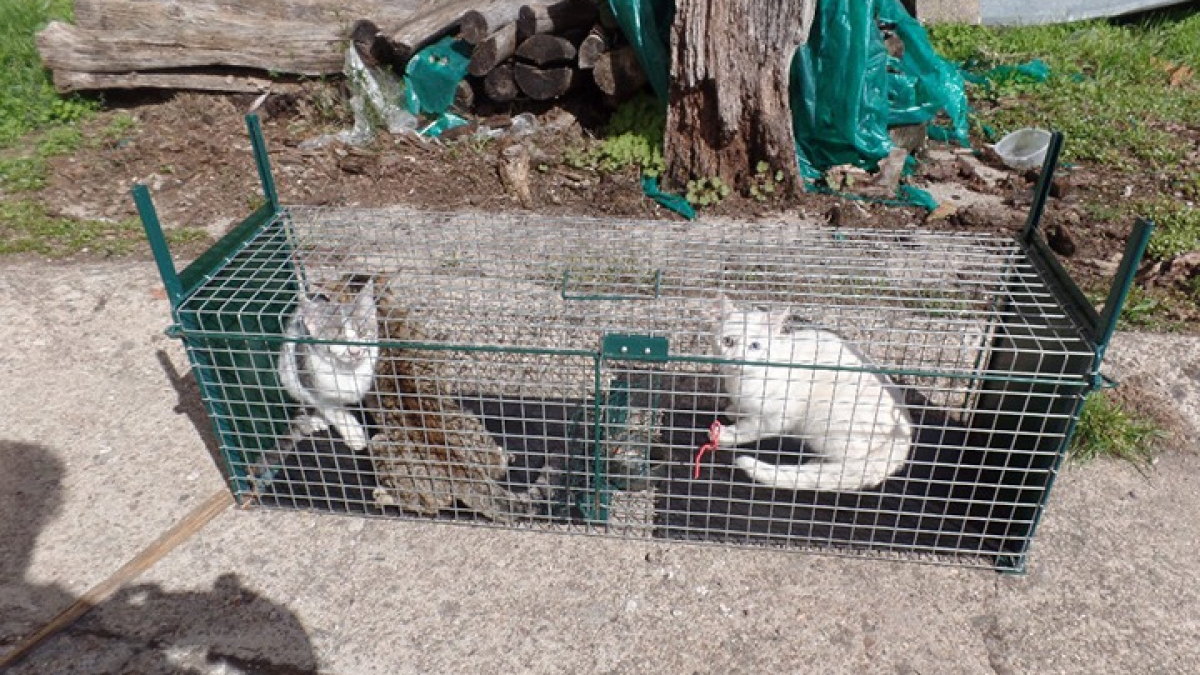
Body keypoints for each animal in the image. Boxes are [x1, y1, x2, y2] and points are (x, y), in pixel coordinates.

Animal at [277, 273, 379, 451]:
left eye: (362, 332)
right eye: (338, 338)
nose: (355, 351)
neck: (348, 371)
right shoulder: (311, 383)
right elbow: (334, 411)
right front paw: (354, 435)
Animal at [710, 296, 907, 492]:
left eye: (755, 346)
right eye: (728, 341)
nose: (737, 360)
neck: (739, 382)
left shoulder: (775, 419)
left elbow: (747, 429)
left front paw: (724, 435)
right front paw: (734, 410)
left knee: (847, 466)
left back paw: (817, 464)